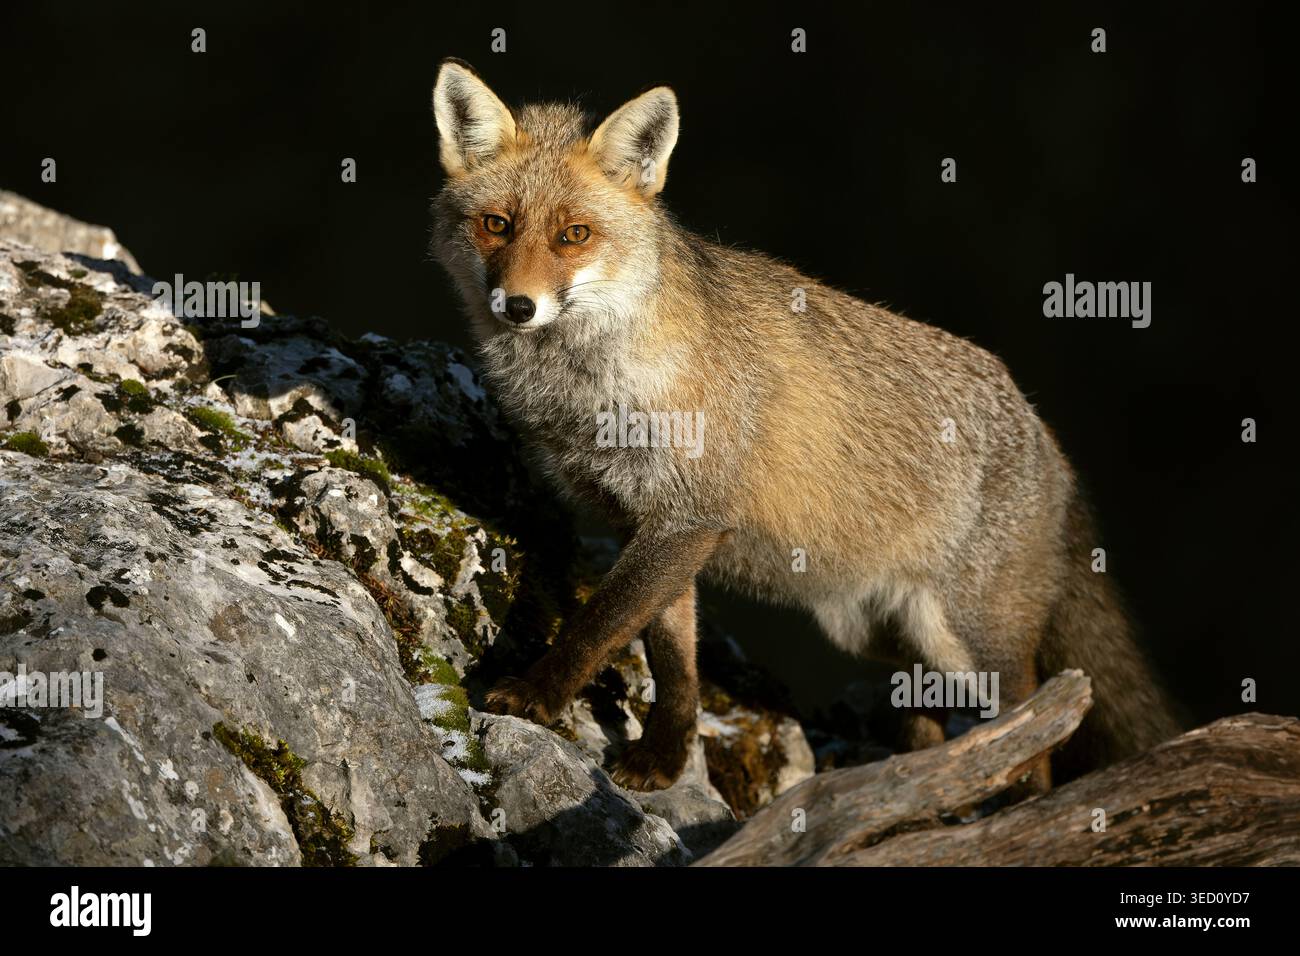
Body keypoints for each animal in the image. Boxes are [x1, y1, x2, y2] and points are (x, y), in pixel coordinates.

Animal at [430, 58, 1181, 792]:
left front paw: (537, 696)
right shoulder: (647, 523)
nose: (517, 306)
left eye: (574, 235)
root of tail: (1047, 437)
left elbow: (596, 625)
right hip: (877, 632)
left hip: (970, 642)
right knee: (929, 716)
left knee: (1036, 738)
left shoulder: (687, 518)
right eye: (497, 225)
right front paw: (667, 759)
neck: (590, 390)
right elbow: (672, 658)